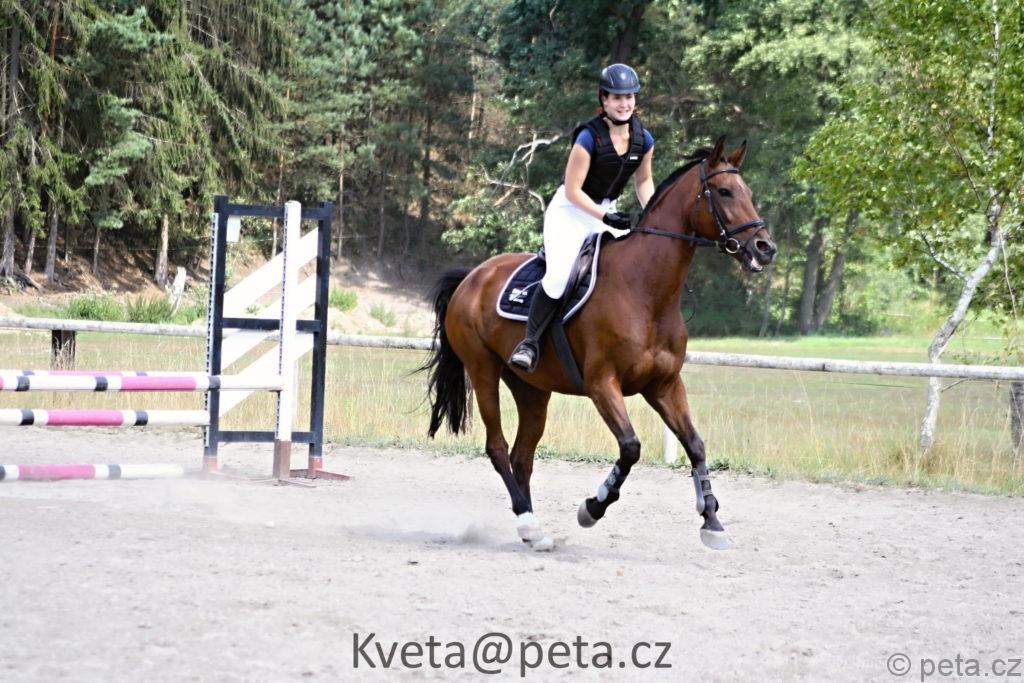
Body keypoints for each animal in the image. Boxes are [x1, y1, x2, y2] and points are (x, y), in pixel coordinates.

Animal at [423, 136, 776, 550]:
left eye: (747, 192)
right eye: (723, 192)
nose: (765, 247)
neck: (647, 291)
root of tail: (472, 276)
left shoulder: (664, 385)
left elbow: (695, 444)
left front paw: (712, 521)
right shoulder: (602, 384)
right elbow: (631, 447)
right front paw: (592, 507)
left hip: (531, 389)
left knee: (521, 456)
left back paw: (534, 530)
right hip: (483, 370)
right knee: (497, 448)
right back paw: (528, 522)